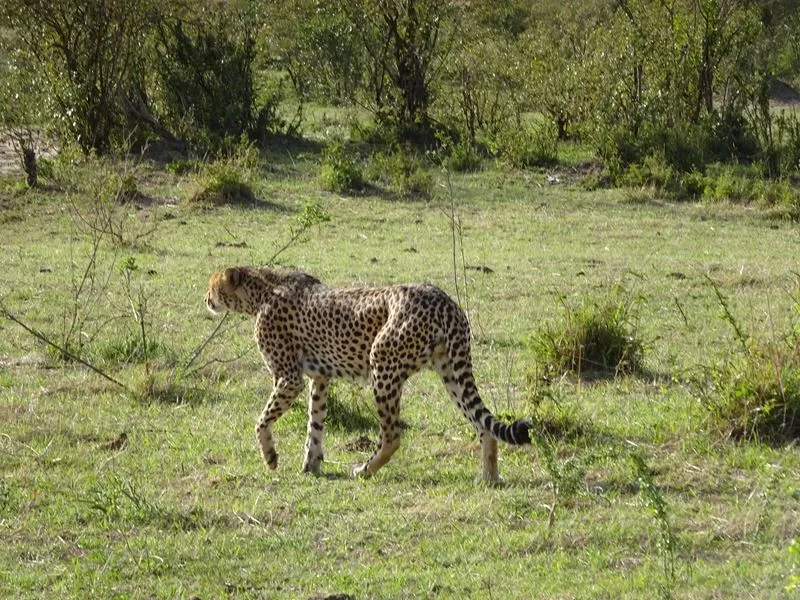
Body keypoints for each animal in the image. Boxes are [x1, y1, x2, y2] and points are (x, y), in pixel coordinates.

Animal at [206, 268, 532, 482]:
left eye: (212, 285)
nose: (206, 299)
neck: (261, 289)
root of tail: (443, 299)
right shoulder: (319, 378)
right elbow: (315, 423)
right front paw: (311, 465)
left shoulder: (289, 378)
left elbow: (261, 420)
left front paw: (271, 457)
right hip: (451, 371)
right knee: (484, 427)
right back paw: (488, 479)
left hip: (383, 364)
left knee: (392, 436)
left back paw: (364, 470)